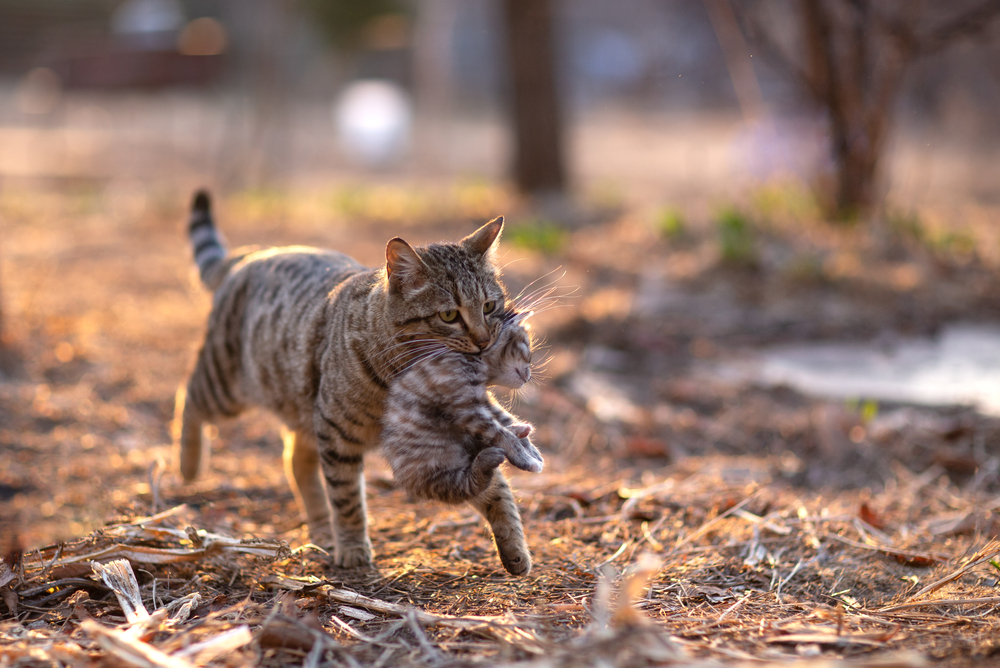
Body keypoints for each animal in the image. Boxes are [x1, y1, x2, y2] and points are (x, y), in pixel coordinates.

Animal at [380, 310, 540, 508]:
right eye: (528, 350)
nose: (529, 376)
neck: (472, 359)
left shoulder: (481, 400)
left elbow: (504, 417)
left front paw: (529, 447)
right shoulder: (466, 407)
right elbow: (500, 432)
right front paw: (527, 460)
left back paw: (517, 431)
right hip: (434, 464)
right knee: (465, 485)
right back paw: (487, 461)